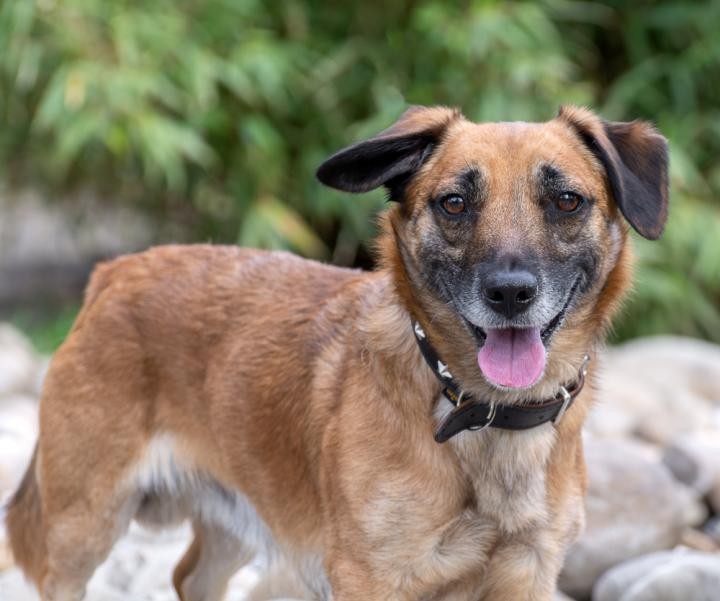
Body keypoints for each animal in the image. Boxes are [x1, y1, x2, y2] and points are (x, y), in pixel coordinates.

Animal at [5, 108, 668, 600]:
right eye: (454, 203)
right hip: (82, 525)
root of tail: (115, 271)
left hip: (237, 510)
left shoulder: (528, 573)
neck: (481, 416)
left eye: (566, 201)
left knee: (191, 576)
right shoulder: (370, 577)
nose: (509, 293)